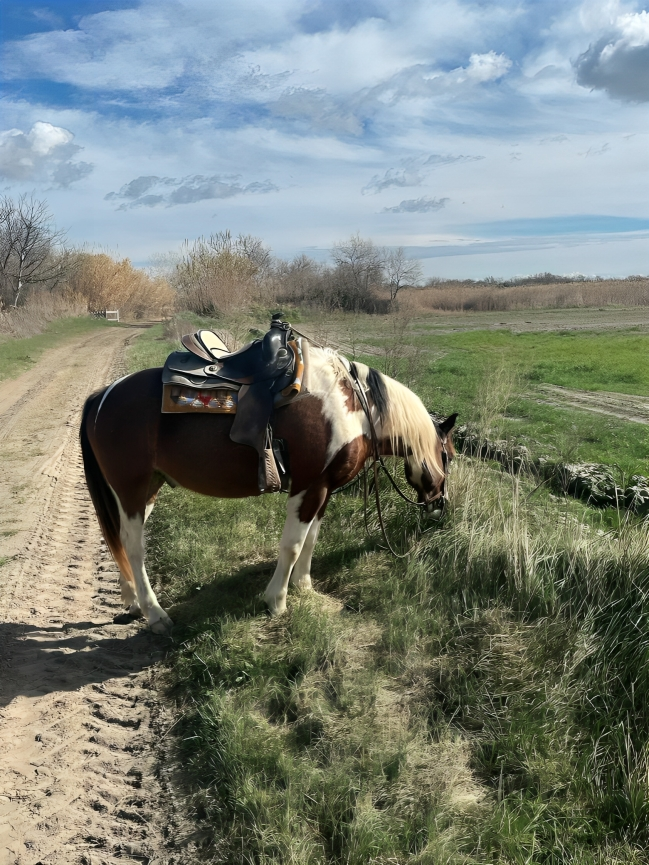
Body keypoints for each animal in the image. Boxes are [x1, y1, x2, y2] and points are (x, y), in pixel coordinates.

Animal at [79, 346, 457, 634]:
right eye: (449, 456)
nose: (440, 507)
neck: (353, 408)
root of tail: (102, 397)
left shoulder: (323, 489)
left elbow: (311, 539)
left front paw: (304, 587)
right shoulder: (307, 487)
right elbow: (292, 545)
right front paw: (277, 600)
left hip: (147, 489)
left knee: (121, 541)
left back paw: (132, 601)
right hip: (130, 489)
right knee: (133, 546)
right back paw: (155, 613)